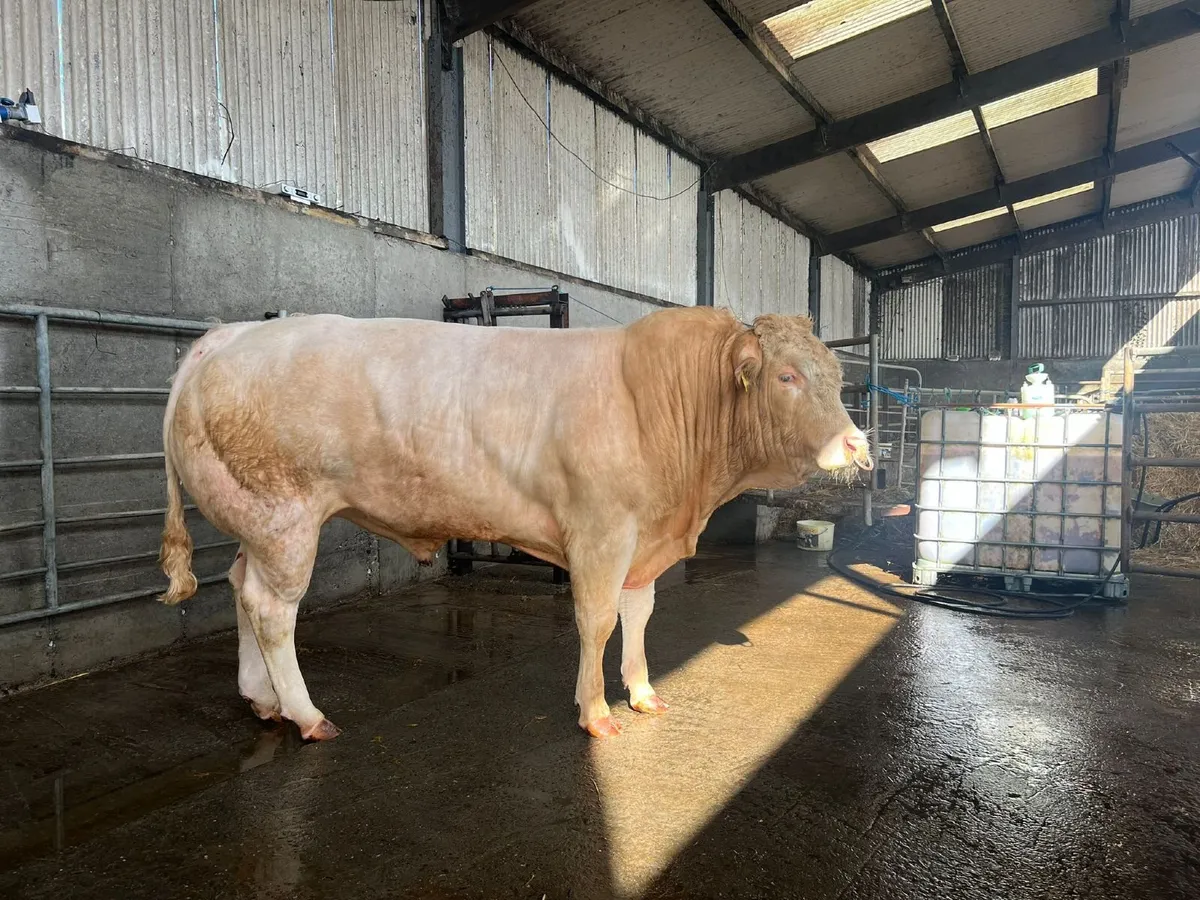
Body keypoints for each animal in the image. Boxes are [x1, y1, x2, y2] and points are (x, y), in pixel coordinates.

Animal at [157, 306, 872, 741]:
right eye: (787, 376)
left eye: (838, 377)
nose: (857, 444)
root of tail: (225, 336)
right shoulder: (601, 530)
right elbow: (598, 619)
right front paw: (596, 712)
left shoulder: (644, 535)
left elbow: (639, 614)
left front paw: (643, 690)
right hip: (285, 514)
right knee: (273, 609)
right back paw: (306, 714)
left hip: (256, 520)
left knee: (241, 588)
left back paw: (263, 699)